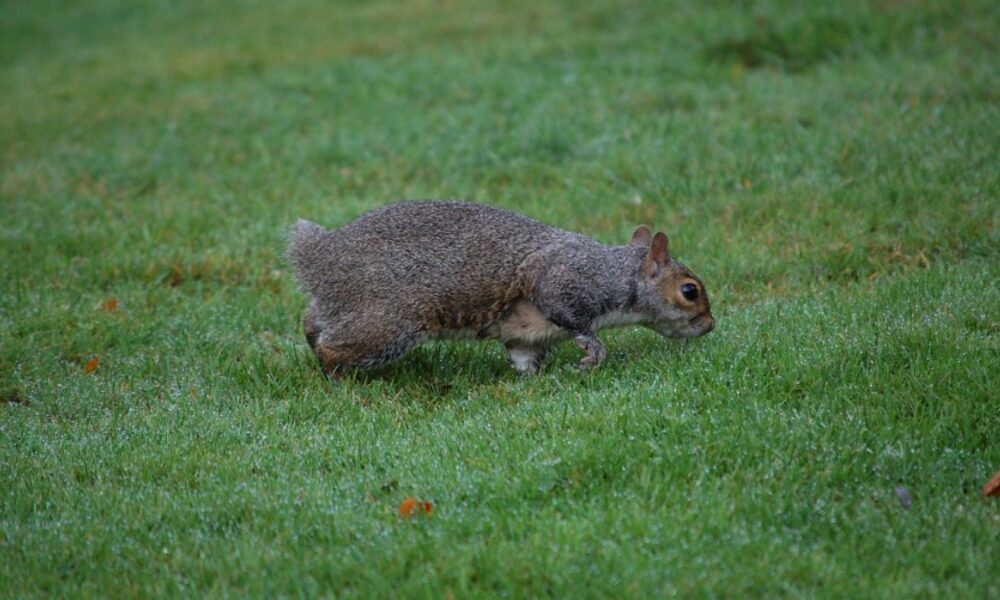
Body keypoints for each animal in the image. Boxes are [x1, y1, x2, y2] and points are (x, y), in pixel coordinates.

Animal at [288, 200, 714, 376]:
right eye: (690, 291)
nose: (710, 326)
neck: (613, 271)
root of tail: (322, 256)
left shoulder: (525, 332)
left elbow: (524, 358)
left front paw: (538, 381)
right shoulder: (560, 279)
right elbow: (575, 319)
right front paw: (592, 352)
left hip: (346, 306)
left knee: (312, 321)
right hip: (389, 319)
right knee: (332, 347)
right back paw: (336, 377)